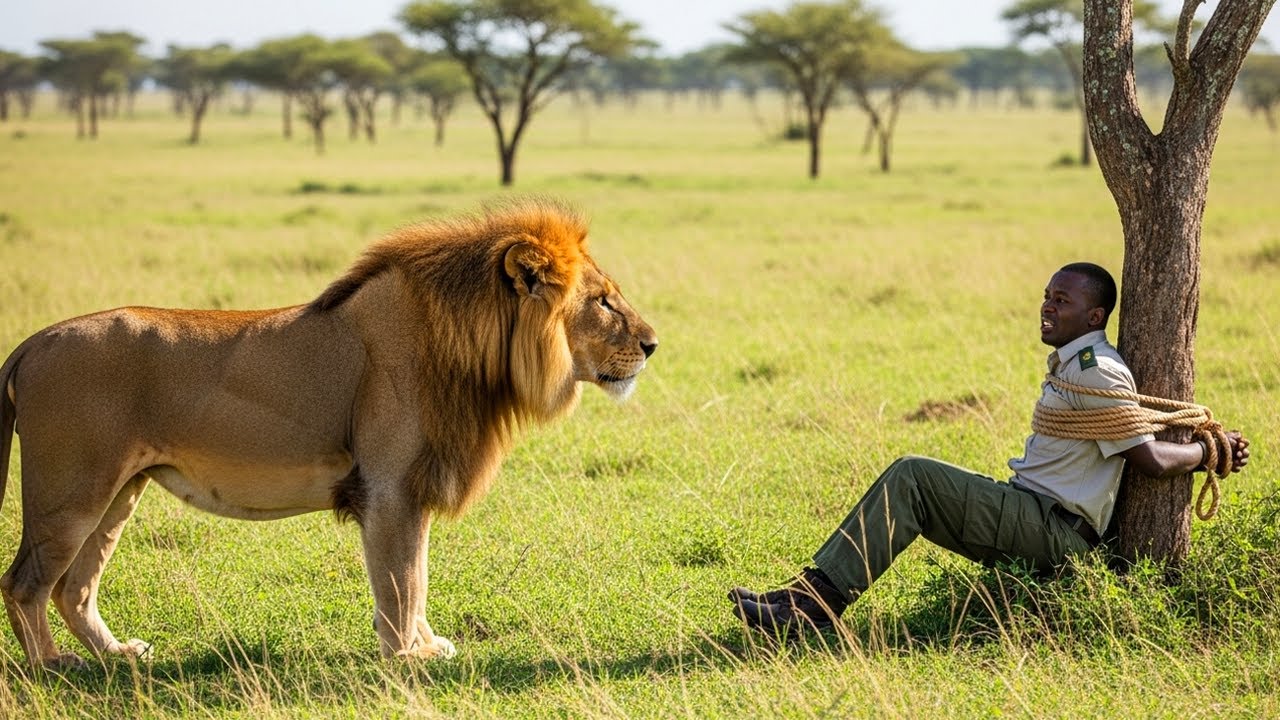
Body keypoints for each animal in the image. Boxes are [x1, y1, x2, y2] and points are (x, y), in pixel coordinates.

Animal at [0, 200, 657, 669]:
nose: (653, 344)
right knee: (25, 582)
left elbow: (416, 571)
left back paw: (116, 655)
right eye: (603, 302)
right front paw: (407, 657)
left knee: (73, 588)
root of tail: (31, 343)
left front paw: (424, 644)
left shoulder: (412, 489)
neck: (472, 348)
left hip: (119, 490)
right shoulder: (390, 488)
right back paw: (51, 667)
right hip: (71, 490)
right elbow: (401, 578)